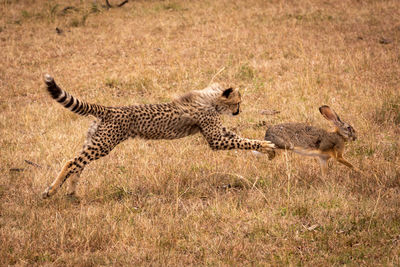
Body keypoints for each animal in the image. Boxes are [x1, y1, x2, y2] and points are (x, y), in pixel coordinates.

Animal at [41, 75, 276, 199]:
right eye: (238, 102)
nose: (238, 111)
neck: (211, 99)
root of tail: (110, 109)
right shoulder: (216, 139)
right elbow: (242, 141)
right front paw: (267, 146)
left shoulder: (219, 132)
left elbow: (240, 137)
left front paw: (266, 146)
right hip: (104, 144)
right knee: (71, 162)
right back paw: (51, 191)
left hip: (94, 141)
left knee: (79, 164)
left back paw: (72, 193)